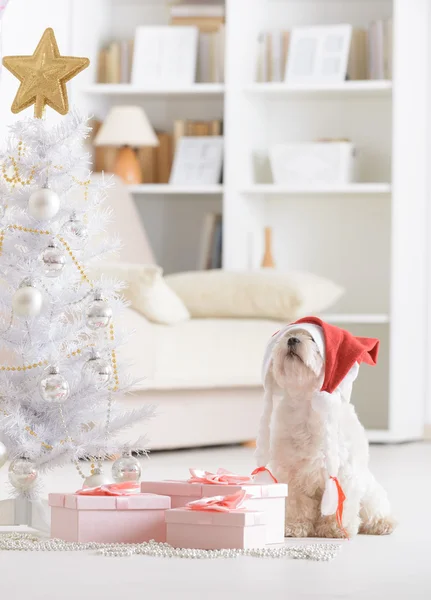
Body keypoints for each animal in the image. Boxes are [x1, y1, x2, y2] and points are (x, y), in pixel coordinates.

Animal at [255, 318, 396, 540]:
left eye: (312, 339)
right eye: (289, 335)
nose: (292, 340)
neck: (308, 408)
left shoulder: (343, 473)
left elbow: (340, 504)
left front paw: (336, 529)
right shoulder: (291, 473)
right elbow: (296, 503)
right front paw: (294, 526)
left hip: (370, 494)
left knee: (375, 510)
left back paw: (382, 523)